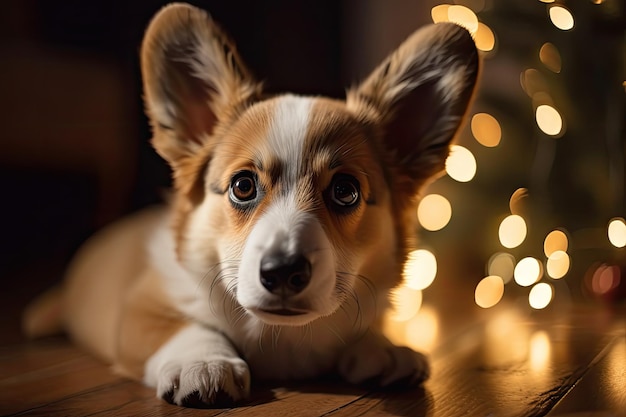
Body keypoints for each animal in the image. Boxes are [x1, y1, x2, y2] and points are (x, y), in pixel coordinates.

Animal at [20, 2, 478, 406]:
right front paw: (204, 362)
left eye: (345, 191)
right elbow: (184, 328)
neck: (281, 339)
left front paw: (382, 347)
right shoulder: (140, 310)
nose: (283, 273)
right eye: (243, 186)